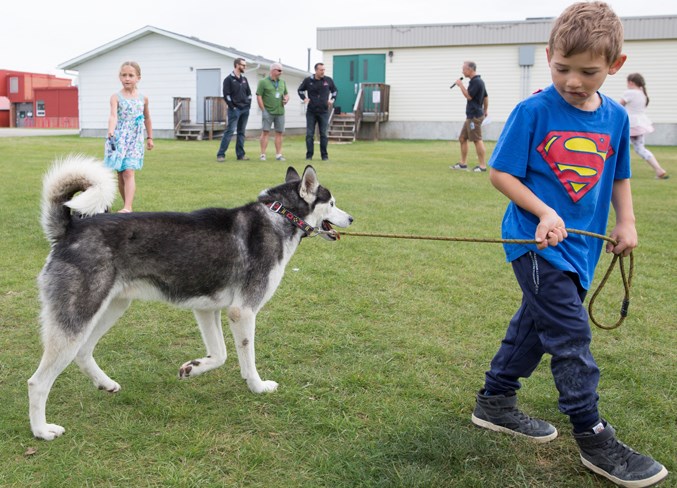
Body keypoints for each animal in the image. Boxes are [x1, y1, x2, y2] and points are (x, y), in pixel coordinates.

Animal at [28, 154, 352, 440]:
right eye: (332, 203)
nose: (351, 217)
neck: (278, 215)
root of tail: (71, 229)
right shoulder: (243, 311)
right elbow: (247, 359)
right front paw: (258, 387)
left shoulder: (208, 309)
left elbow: (220, 355)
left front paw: (193, 368)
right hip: (78, 319)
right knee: (37, 382)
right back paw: (42, 431)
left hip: (111, 308)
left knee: (83, 353)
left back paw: (105, 384)